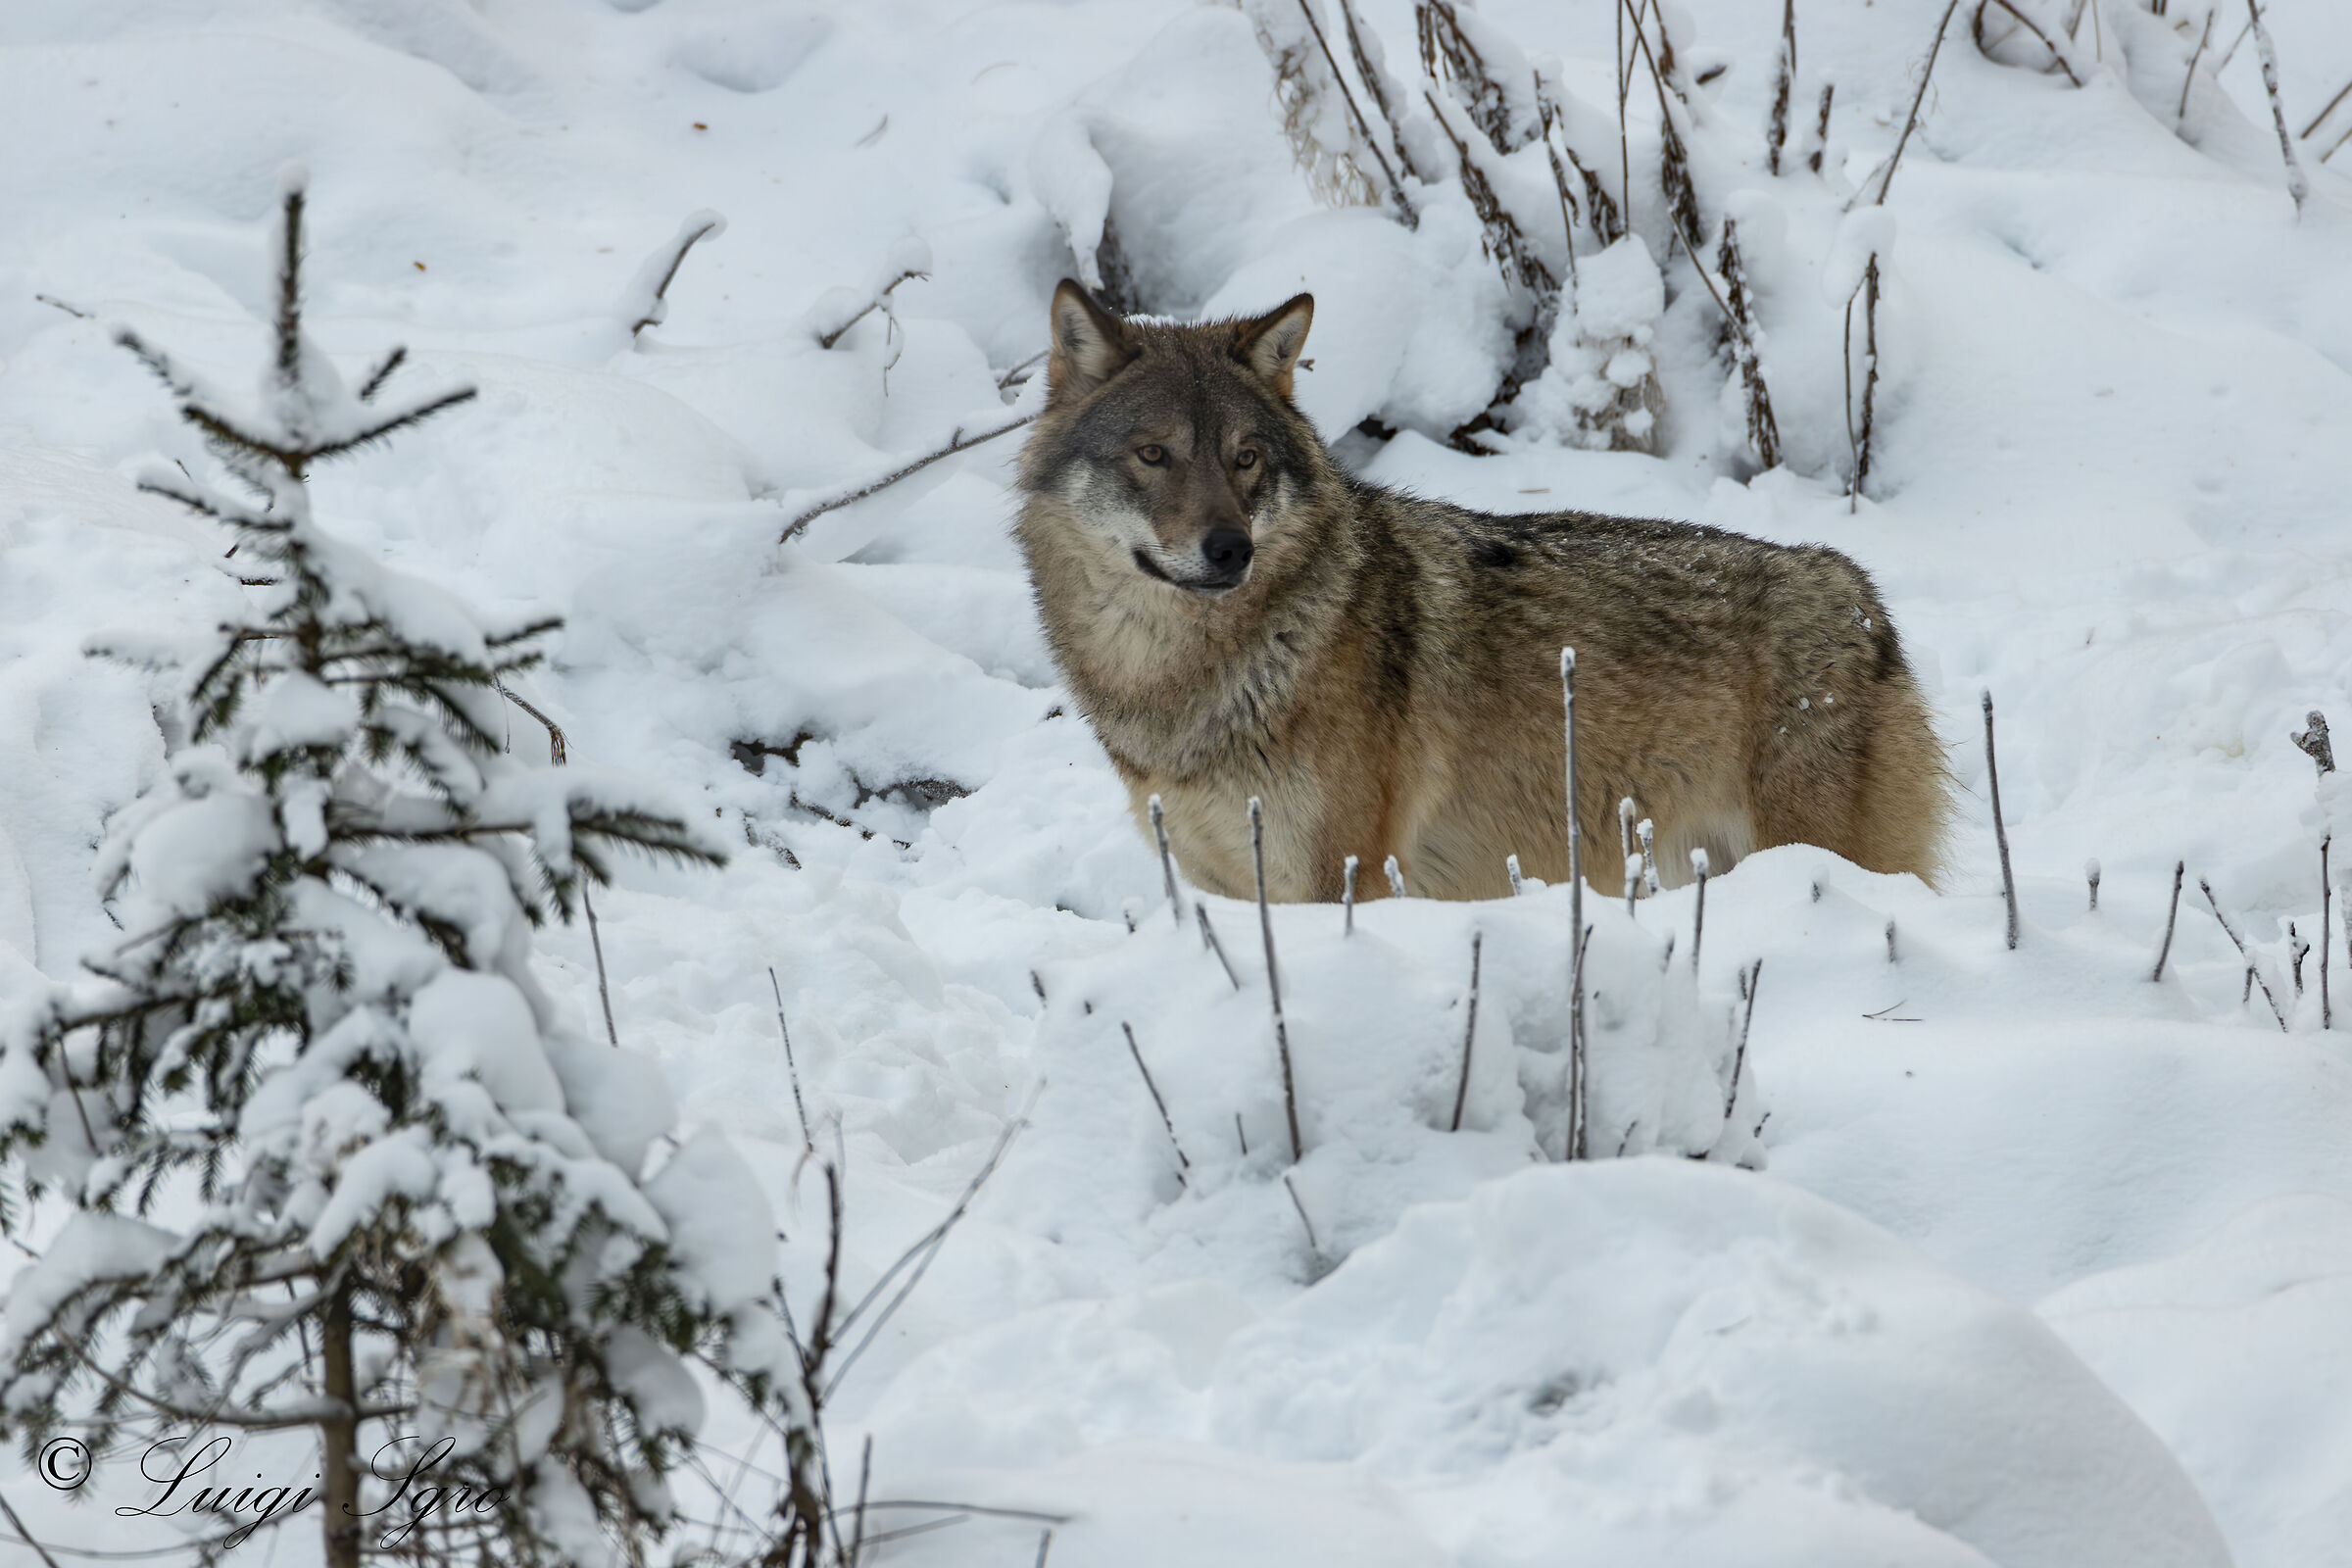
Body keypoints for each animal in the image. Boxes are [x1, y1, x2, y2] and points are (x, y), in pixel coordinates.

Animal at [1013, 280, 1949, 904]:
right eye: (1153, 454)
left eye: (1245, 458)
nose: (1231, 550)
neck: (1181, 686)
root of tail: (1859, 596)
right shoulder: (1223, 885)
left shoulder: (1340, 880)